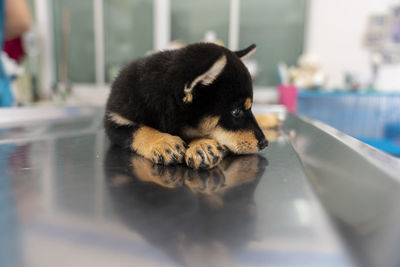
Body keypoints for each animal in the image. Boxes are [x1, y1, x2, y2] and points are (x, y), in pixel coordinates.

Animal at [104, 42, 268, 169]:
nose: (265, 143)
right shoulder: (114, 121)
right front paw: (163, 142)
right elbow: (139, 130)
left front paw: (202, 145)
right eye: (236, 112)